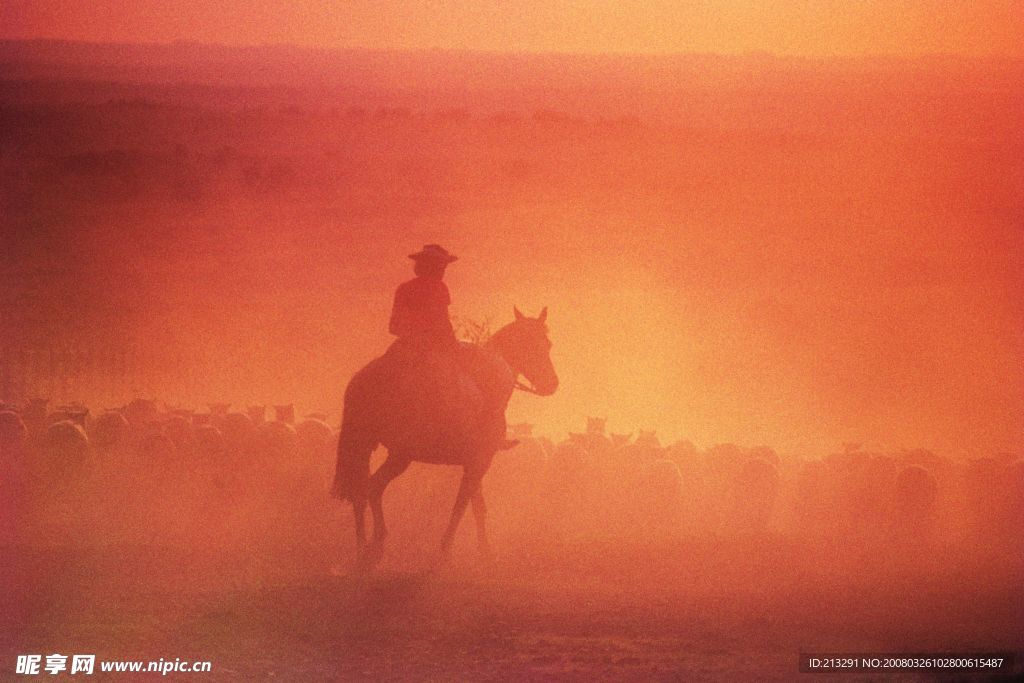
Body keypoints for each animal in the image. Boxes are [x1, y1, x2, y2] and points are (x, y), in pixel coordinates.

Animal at [331, 307, 561, 569]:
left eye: (548, 344)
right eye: (535, 344)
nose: (552, 384)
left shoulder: (475, 462)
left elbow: (476, 504)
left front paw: (483, 551)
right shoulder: (480, 460)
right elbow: (463, 505)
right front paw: (448, 551)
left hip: (370, 448)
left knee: (362, 492)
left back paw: (363, 548)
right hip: (400, 455)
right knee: (372, 488)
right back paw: (374, 546)